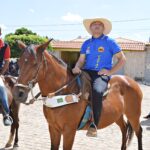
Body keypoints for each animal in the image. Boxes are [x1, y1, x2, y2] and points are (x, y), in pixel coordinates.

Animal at [13, 40, 143, 150]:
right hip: (117, 115)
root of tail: (130, 81)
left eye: (35, 63)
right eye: (19, 62)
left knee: (139, 132)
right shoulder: (53, 128)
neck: (64, 93)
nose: (18, 93)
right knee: (124, 129)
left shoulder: (69, 131)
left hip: (133, 115)